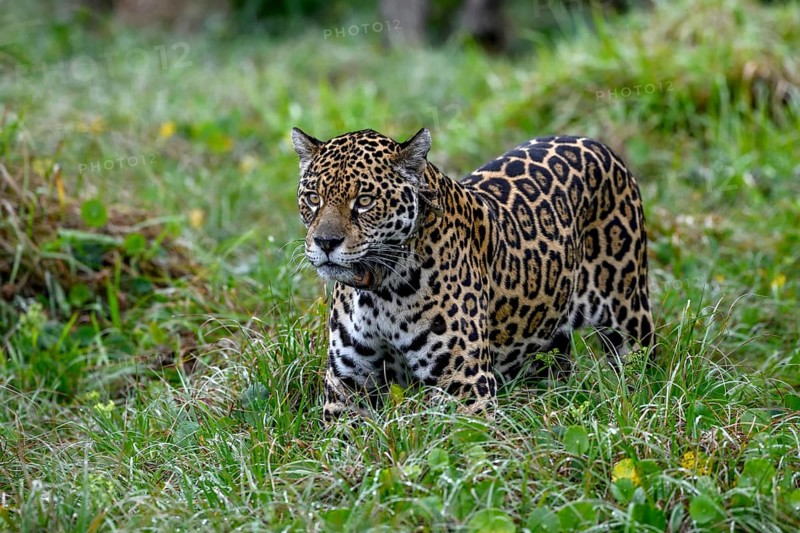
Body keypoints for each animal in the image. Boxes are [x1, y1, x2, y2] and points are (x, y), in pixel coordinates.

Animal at [291, 127, 654, 423]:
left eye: (365, 200)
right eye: (313, 198)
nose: (325, 242)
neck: (379, 290)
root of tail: (593, 142)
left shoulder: (464, 384)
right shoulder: (348, 384)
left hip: (627, 315)